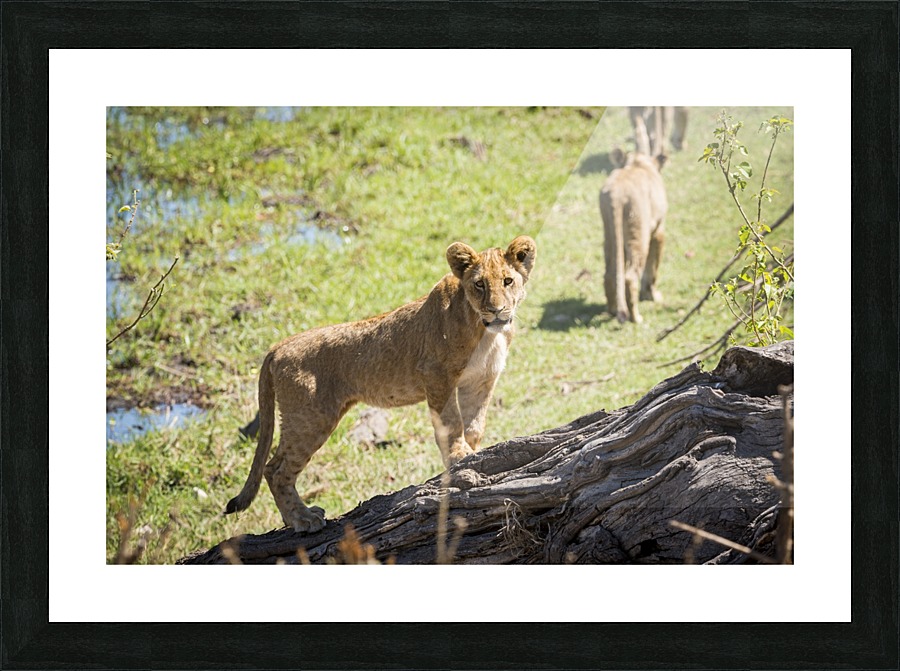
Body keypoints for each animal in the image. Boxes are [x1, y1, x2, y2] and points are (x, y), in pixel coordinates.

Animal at [225, 236, 537, 533]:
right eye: (479, 284)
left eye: (507, 281)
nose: (496, 310)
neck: (486, 332)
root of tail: (278, 346)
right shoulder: (436, 375)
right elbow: (452, 424)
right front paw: (459, 457)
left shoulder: (481, 380)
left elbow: (474, 424)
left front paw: (476, 454)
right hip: (311, 418)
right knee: (276, 470)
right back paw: (302, 519)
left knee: (272, 466)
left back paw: (294, 518)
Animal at [600, 147, 667, 323]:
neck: (638, 163)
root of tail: (616, 194)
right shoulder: (658, 230)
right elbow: (653, 267)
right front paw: (653, 296)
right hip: (638, 232)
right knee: (630, 277)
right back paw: (636, 317)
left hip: (610, 233)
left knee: (610, 273)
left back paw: (613, 310)